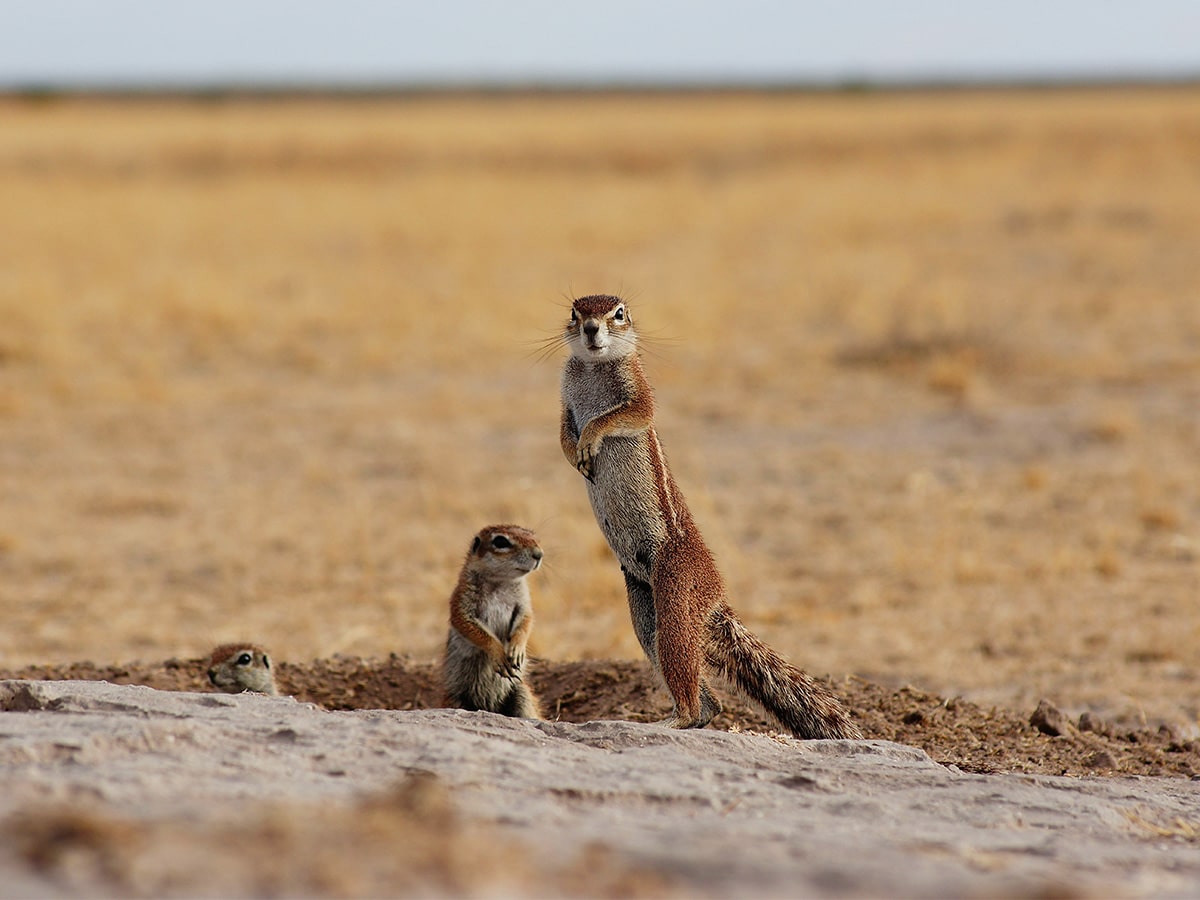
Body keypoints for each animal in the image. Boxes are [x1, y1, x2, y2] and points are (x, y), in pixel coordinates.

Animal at [441, 524, 544, 719]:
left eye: (534, 537)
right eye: (501, 541)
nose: (539, 554)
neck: (501, 582)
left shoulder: (523, 603)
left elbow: (526, 620)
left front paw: (517, 649)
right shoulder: (462, 600)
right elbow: (470, 626)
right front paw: (498, 653)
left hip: (521, 693)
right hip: (457, 699)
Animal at [559, 294, 862, 740]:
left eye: (618, 313)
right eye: (574, 313)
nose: (592, 329)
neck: (594, 368)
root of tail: (716, 595)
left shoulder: (639, 392)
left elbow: (624, 415)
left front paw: (590, 438)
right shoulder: (565, 398)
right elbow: (564, 428)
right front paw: (573, 452)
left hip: (677, 592)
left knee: (683, 661)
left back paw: (673, 718)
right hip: (642, 605)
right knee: (703, 694)